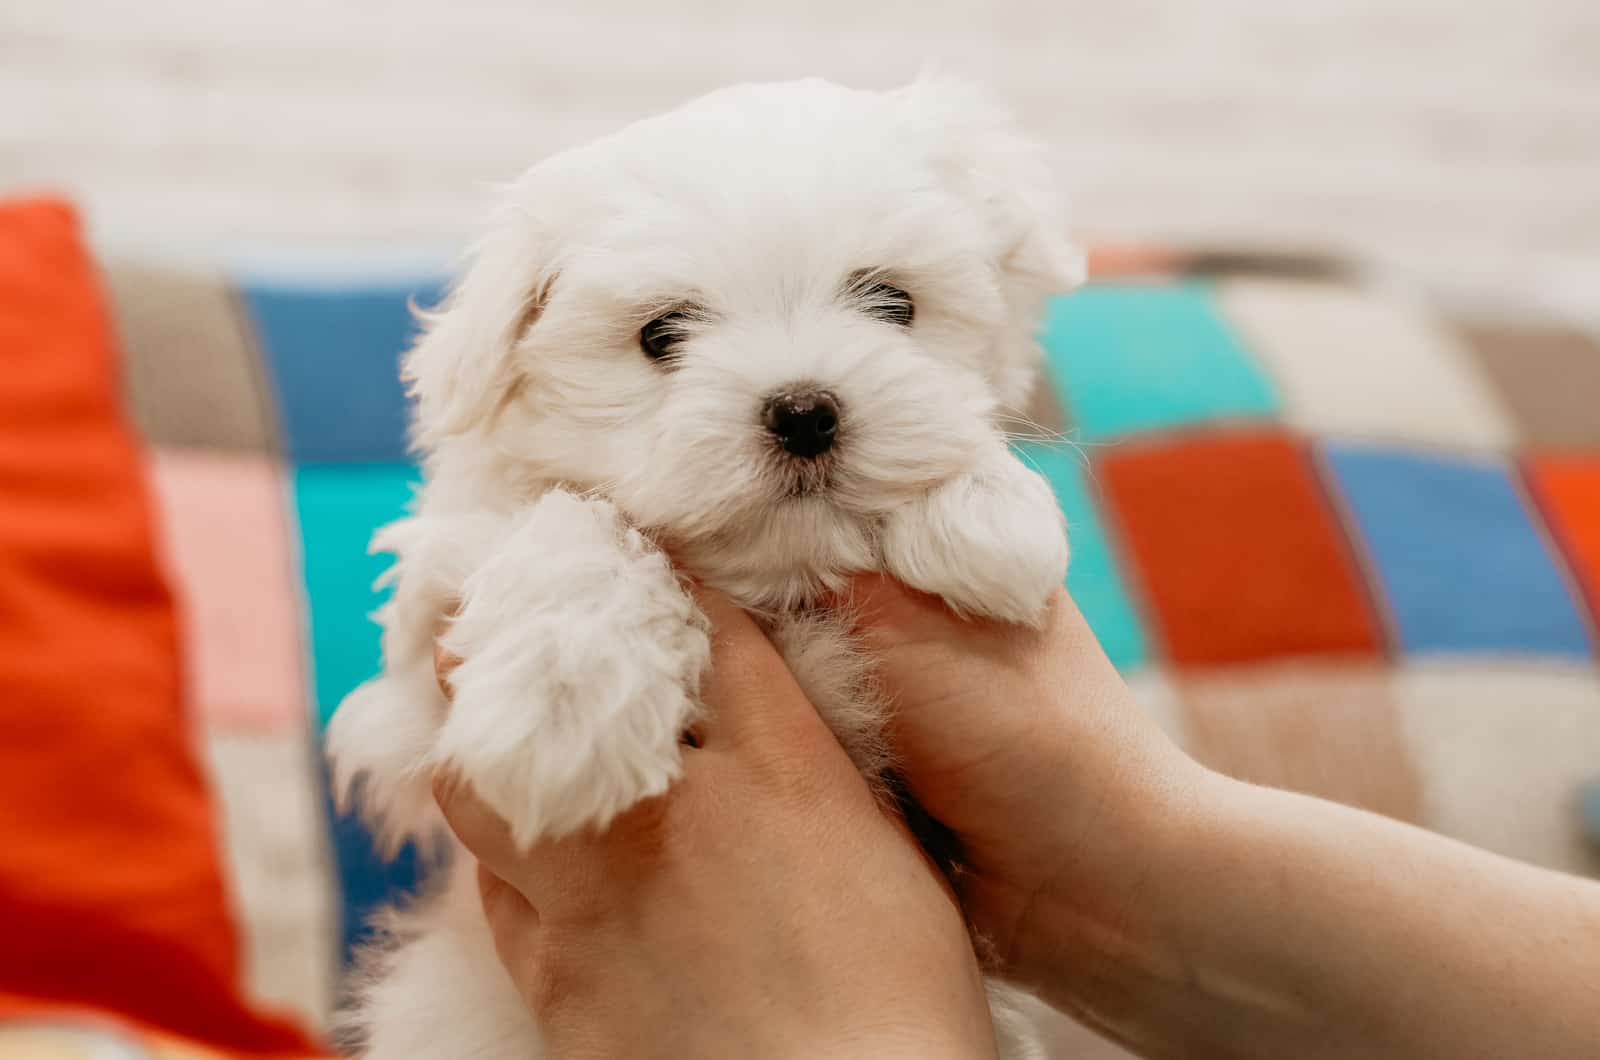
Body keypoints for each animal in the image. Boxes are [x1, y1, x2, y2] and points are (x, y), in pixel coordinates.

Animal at [334, 78, 1088, 1056]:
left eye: (893, 304)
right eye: (662, 335)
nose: (804, 410)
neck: (774, 586)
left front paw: (987, 509)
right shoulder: (409, 704)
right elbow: (574, 522)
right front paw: (561, 705)